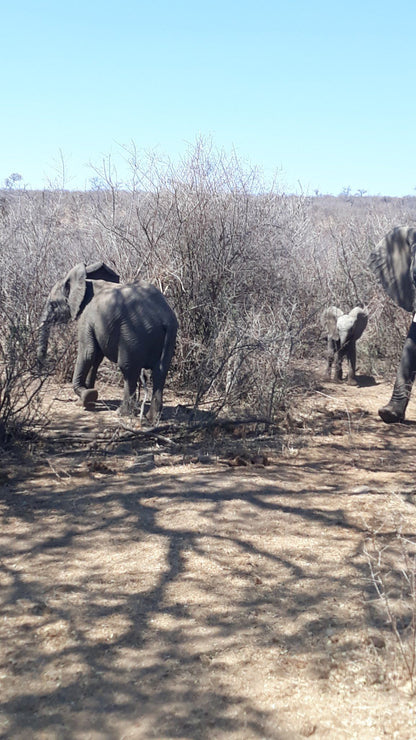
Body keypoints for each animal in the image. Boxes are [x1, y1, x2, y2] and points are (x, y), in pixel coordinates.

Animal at [36, 262, 178, 424]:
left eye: (53, 305)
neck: (86, 282)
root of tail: (164, 318)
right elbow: (96, 358)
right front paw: (88, 399)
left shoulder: (86, 316)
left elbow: (88, 353)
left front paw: (86, 397)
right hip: (170, 335)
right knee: (160, 372)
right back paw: (152, 419)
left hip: (133, 333)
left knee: (128, 369)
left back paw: (122, 413)